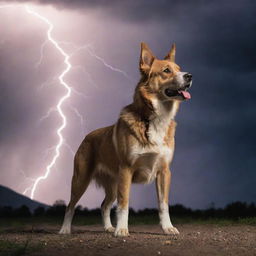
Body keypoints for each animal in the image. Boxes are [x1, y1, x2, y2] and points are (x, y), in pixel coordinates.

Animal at [59, 42, 192, 236]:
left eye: (179, 69)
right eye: (166, 70)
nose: (189, 76)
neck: (154, 118)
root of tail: (87, 135)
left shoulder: (164, 172)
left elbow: (163, 205)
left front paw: (168, 228)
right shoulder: (126, 170)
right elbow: (124, 204)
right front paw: (122, 230)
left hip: (112, 185)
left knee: (104, 205)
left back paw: (108, 227)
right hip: (81, 179)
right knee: (70, 205)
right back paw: (65, 229)